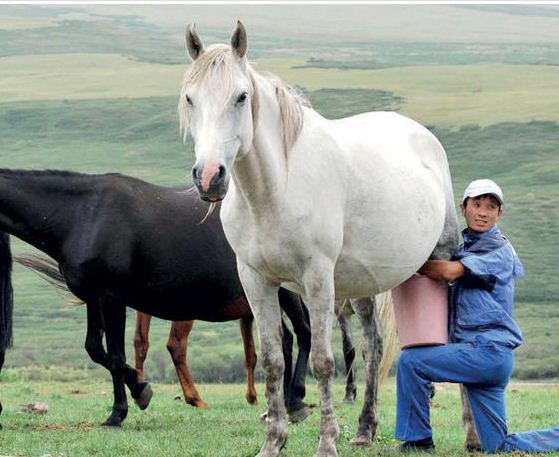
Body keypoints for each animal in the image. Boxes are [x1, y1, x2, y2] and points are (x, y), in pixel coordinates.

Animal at [0, 168, 310, 428]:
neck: (84, 215)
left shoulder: (111, 297)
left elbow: (115, 354)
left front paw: (118, 412)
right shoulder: (93, 298)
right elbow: (94, 349)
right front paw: (140, 389)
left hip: (284, 289)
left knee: (303, 333)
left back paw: (295, 400)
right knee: (285, 340)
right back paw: (281, 405)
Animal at [182, 23, 462, 456]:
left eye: (241, 97)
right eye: (190, 98)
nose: (210, 176)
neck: (274, 190)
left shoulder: (317, 279)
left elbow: (322, 362)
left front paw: (327, 442)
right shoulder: (256, 280)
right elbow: (273, 359)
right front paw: (273, 440)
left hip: (441, 258)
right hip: (361, 284)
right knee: (373, 346)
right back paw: (364, 428)